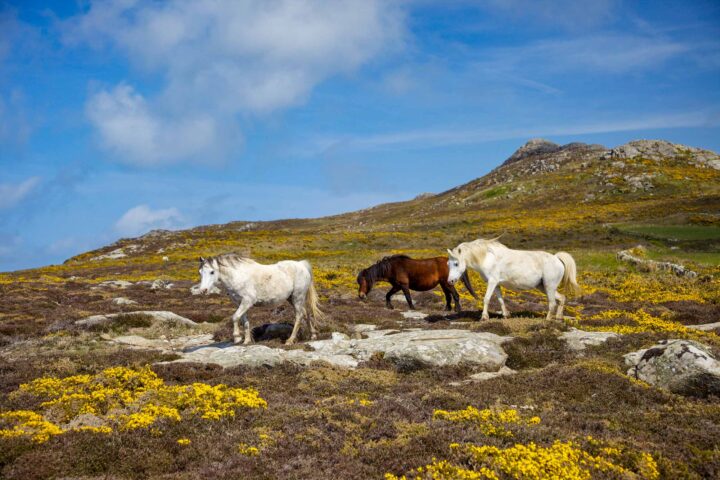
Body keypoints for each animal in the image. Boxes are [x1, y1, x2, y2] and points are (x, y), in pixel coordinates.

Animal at [446, 238, 581, 321]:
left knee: (552, 303)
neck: (487, 258)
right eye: (448, 264)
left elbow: (486, 299)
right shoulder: (496, 284)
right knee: (562, 298)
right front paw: (506, 315)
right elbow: (500, 300)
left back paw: (548, 320)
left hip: (549, 286)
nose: (450, 281)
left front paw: (484, 317)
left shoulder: (492, 282)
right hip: (544, 287)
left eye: (456, 263)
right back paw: (558, 317)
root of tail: (557, 258)